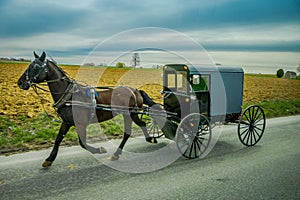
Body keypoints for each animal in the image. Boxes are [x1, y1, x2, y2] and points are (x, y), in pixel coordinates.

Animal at [17, 51, 157, 167]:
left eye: (35, 67)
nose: (20, 82)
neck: (70, 96)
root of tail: (136, 90)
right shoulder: (66, 122)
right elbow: (58, 139)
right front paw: (49, 159)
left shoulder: (81, 123)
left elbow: (82, 142)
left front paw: (99, 149)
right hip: (129, 114)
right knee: (139, 125)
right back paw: (148, 139)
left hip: (130, 114)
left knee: (130, 131)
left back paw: (119, 152)